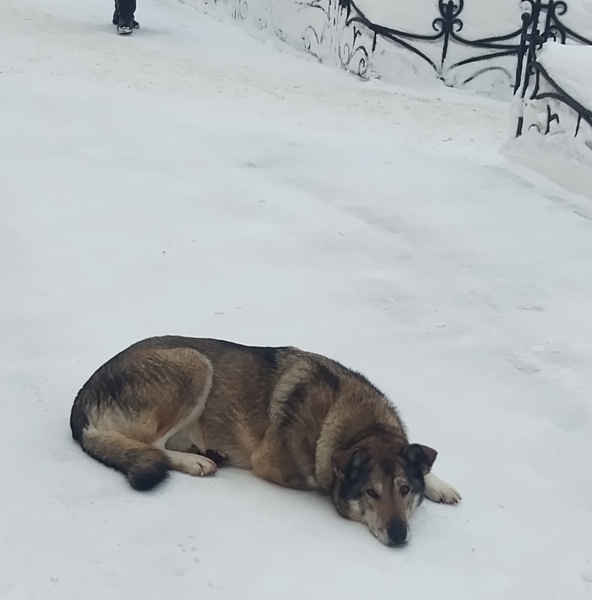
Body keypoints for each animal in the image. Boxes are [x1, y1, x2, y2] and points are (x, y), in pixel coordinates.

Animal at [70, 336, 462, 548]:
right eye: (371, 493)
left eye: (404, 489)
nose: (399, 535)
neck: (363, 427)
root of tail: (81, 400)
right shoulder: (279, 466)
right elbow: (319, 478)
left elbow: (424, 461)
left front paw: (438, 484)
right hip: (194, 365)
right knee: (149, 445)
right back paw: (197, 461)